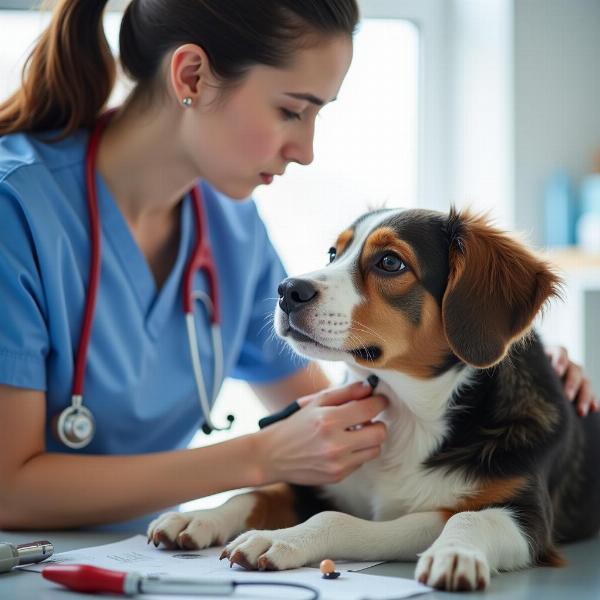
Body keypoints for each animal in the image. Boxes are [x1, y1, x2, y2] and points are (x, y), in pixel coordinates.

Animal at [149, 210, 600, 592]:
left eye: (390, 263)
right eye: (334, 252)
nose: (287, 289)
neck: (408, 413)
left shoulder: (527, 518)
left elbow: (462, 515)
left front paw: (454, 552)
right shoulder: (322, 482)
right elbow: (258, 493)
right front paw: (199, 516)